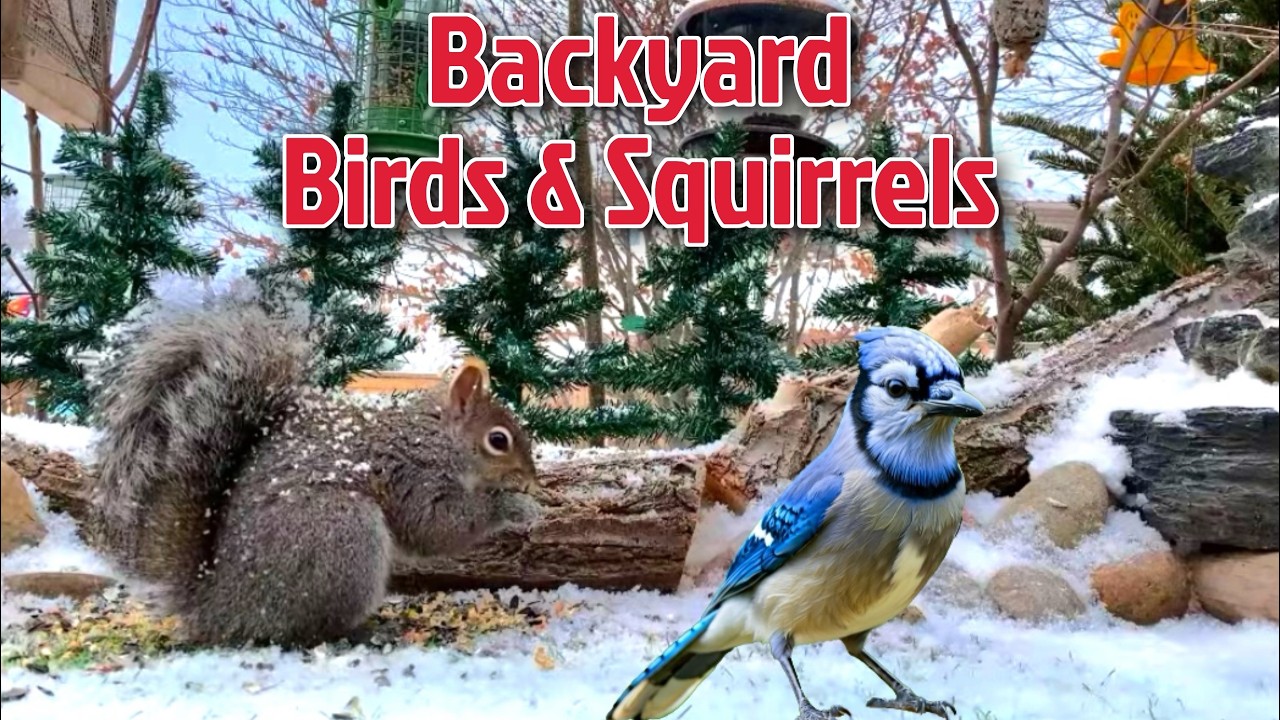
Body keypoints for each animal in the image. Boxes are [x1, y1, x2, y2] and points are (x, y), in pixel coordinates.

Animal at [89, 301, 540, 647]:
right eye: (498, 440)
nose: (531, 478)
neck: (436, 438)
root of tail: (217, 606)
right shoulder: (411, 474)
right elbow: (436, 526)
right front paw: (516, 506)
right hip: (342, 536)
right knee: (308, 630)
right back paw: (366, 631)